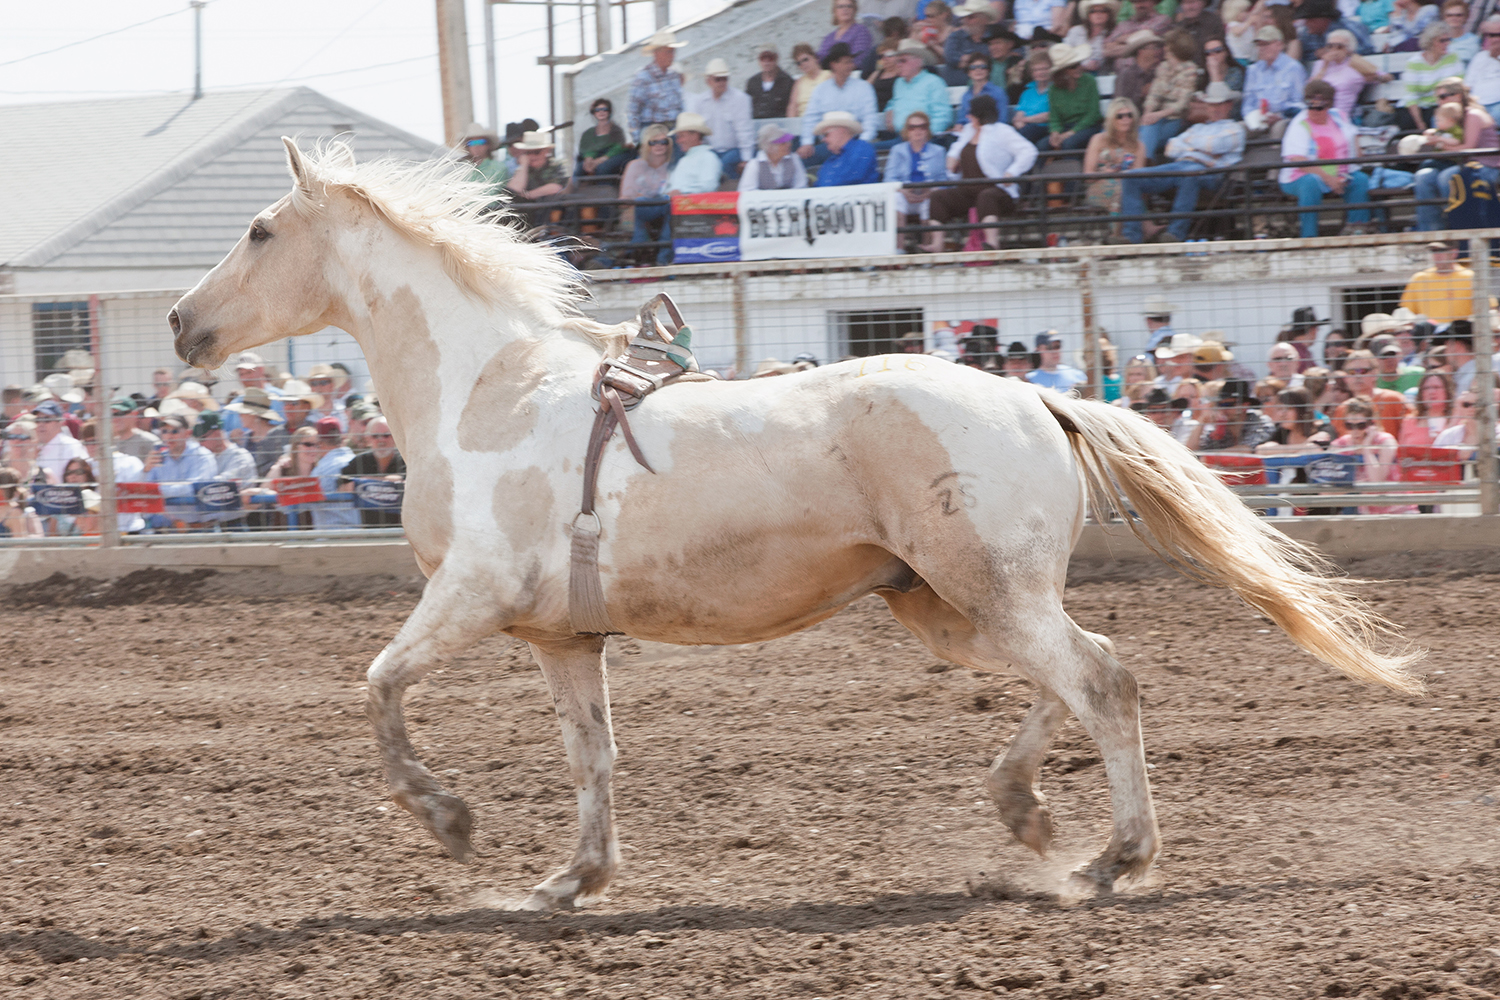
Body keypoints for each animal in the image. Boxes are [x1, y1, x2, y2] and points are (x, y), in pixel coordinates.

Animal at [167, 140, 1423, 912]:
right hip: (946, 603)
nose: (181, 323)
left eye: (261, 230)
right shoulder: (564, 637)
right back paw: (1026, 812)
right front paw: (571, 880)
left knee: (1099, 680)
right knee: (1074, 674)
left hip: (986, 589)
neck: (487, 393)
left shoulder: (467, 597)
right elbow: (591, 755)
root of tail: (1039, 398)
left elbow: (379, 686)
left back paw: (1113, 856)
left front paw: (453, 823)